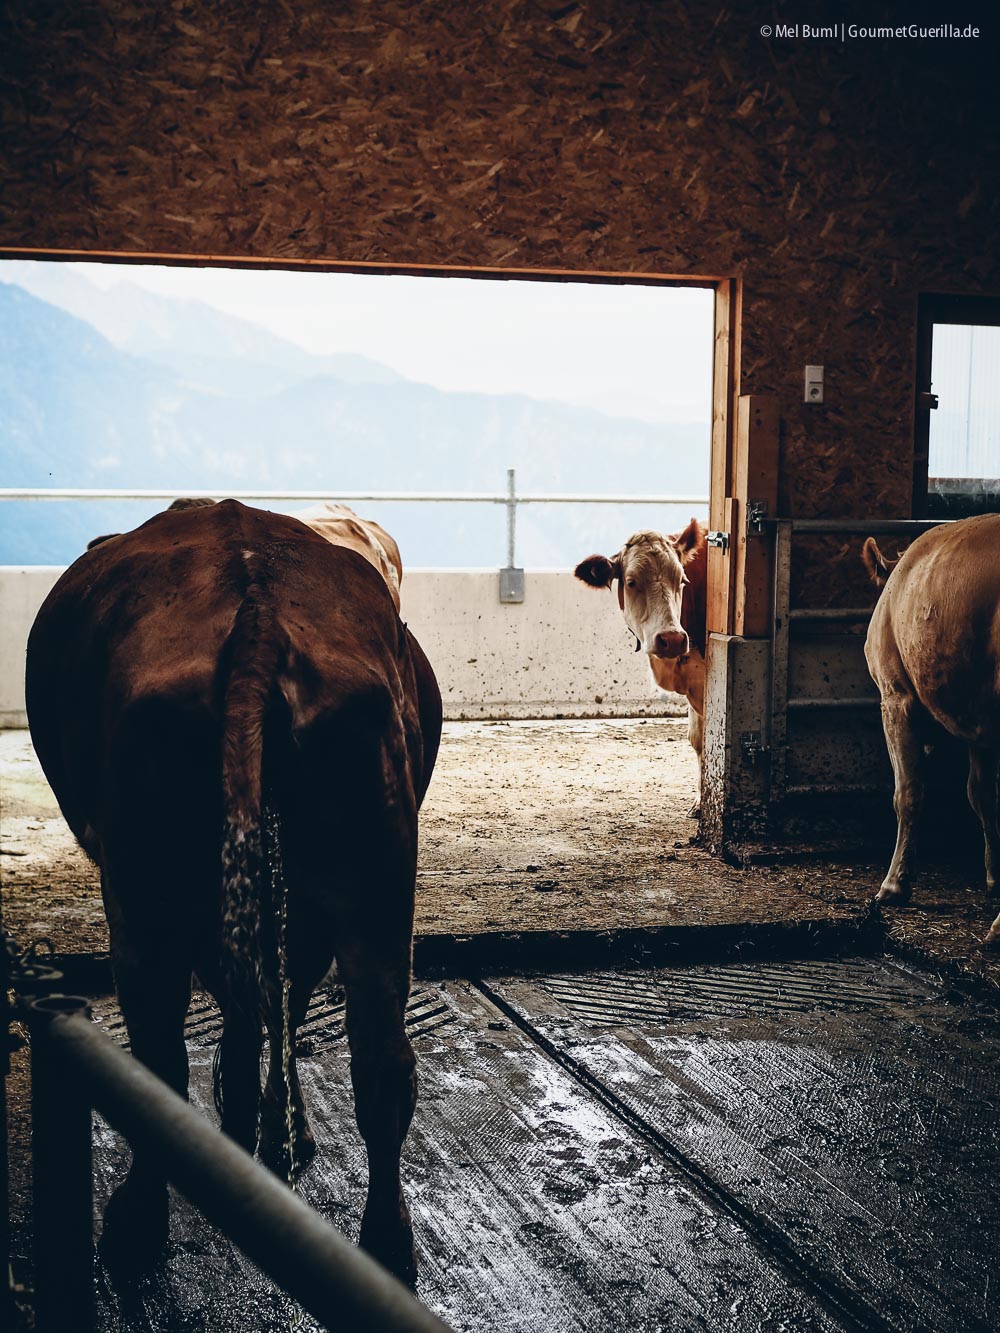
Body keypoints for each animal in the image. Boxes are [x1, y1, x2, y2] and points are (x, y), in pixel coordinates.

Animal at [26, 498, 442, 1279]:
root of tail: (258, 612)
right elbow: (278, 999)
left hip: (145, 894)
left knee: (159, 1054)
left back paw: (136, 1223)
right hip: (375, 879)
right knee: (380, 1059)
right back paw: (385, 1238)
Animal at [864, 514, 1000, 943]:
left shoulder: (895, 696)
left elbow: (908, 793)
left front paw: (894, 885)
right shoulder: (980, 720)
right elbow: (981, 795)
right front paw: (994, 880)